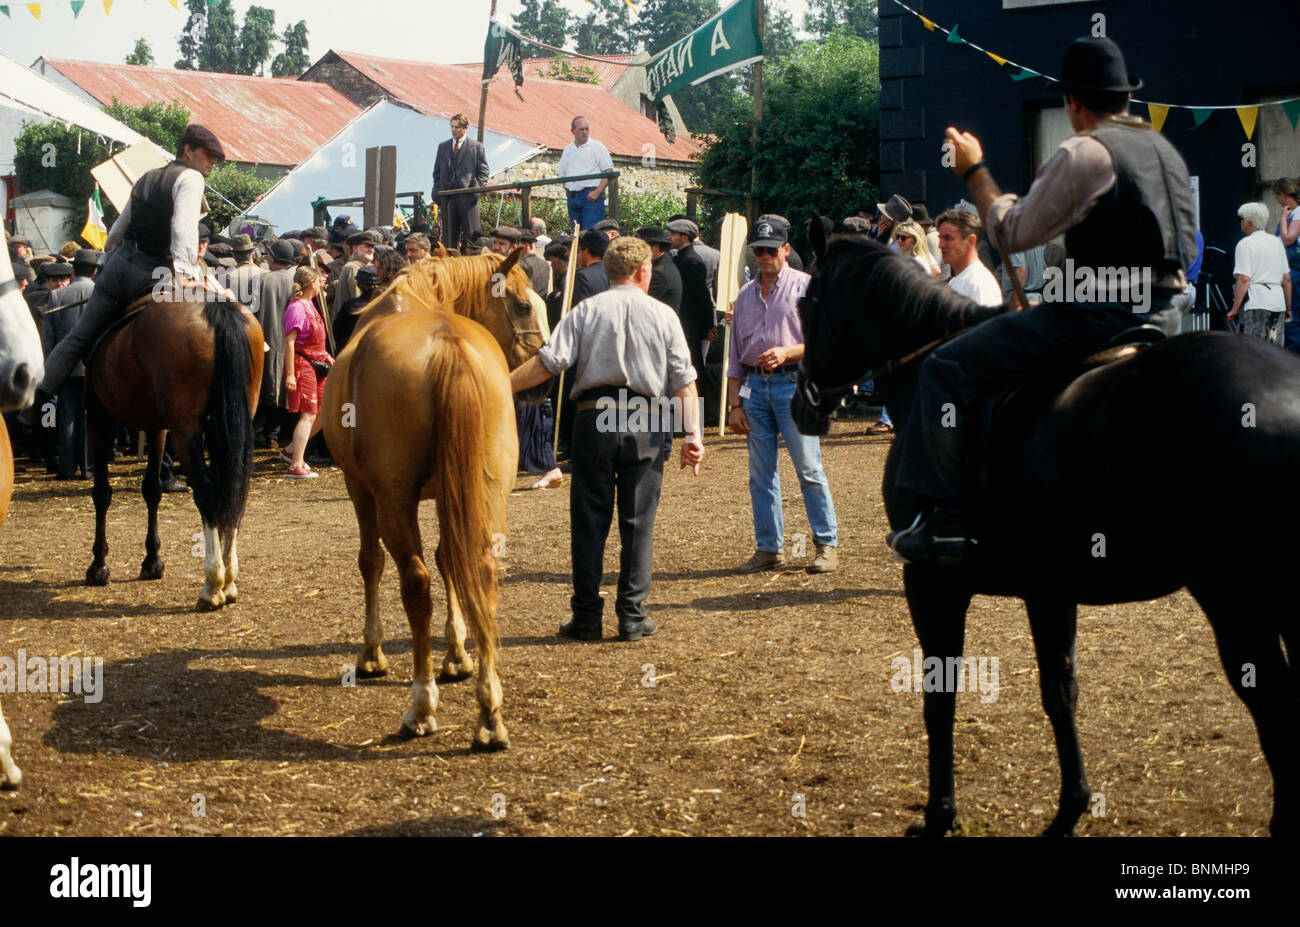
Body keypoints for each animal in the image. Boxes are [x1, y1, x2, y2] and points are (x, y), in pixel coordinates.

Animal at [83, 286, 263, 611]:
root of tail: (214, 308)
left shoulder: (97, 416)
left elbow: (101, 493)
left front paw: (99, 566)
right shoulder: (157, 426)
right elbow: (152, 489)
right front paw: (152, 562)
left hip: (186, 430)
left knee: (206, 490)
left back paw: (213, 584)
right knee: (233, 489)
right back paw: (229, 581)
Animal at [327, 249, 551, 748]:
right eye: (523, 305)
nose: (544, 383)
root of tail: (447, 343)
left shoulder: (360, 487)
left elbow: (371, 562)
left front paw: (372, 652)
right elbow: (451, 558)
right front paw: (457, 656)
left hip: (393, 501)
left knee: (415, 581)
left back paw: (421, 706)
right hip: (489, 491)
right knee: (482, 570)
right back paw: (489, 712)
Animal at [790, 227, 1300, 837]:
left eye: (806, 303)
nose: (800, 404)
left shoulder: (933, 584)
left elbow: (940, 697)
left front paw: (939, 815)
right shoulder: (1051, 590)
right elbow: (1061, 693)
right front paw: (1069, 810)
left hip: (1236, 602)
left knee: (1277, 712)